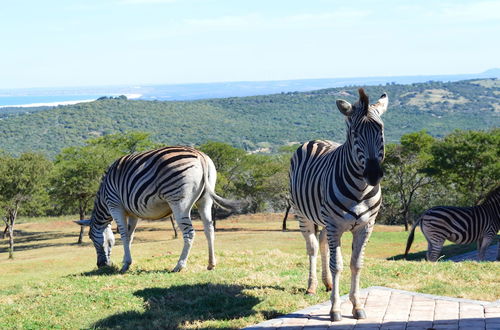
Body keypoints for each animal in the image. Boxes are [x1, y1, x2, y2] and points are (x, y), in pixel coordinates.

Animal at [76, 147, 242, 274]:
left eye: (91, 237)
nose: (100, 265)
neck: (103, 199)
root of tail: (200, 156)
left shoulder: (115, 205)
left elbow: (122, 234)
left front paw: (125, 265)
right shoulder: (133, 213)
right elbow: (130, 236)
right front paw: (126, 261)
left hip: (178, 201)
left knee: (189, 233)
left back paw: (179, 266)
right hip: (205, 200)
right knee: (209, 229)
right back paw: (211, 264)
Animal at [288, 88, 388, 322]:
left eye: (380, 130)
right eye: (354, 134)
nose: (373, 175)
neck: (360, 189)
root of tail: (315, 140)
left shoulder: (365, 226)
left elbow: (356, 264)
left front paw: (357, 305)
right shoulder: (335, 225)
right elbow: (338, 265)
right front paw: (335, 310)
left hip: (325, 219)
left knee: (323, 242)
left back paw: (327, 284)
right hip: (302, 215)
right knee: (313, 247)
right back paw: (312, 286)